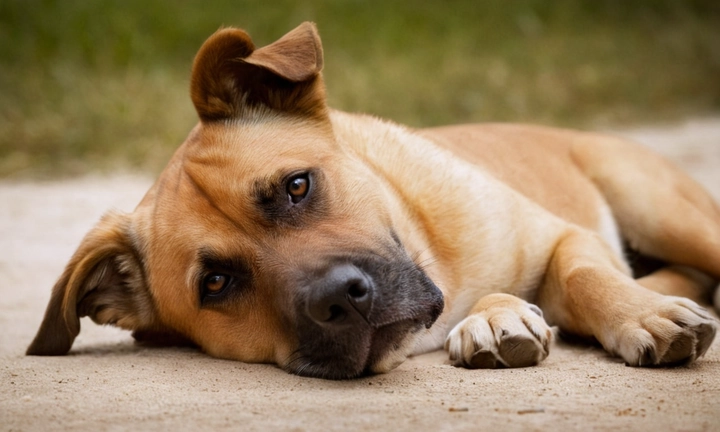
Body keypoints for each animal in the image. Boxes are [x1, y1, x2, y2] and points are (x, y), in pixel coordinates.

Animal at [26, 22, 720, 378]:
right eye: (216, 284)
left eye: (297, 186)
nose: (341, 301)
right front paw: (500, 316)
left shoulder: (563, 236)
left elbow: (583, 275)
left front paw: (638, 315)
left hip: (663, 209)